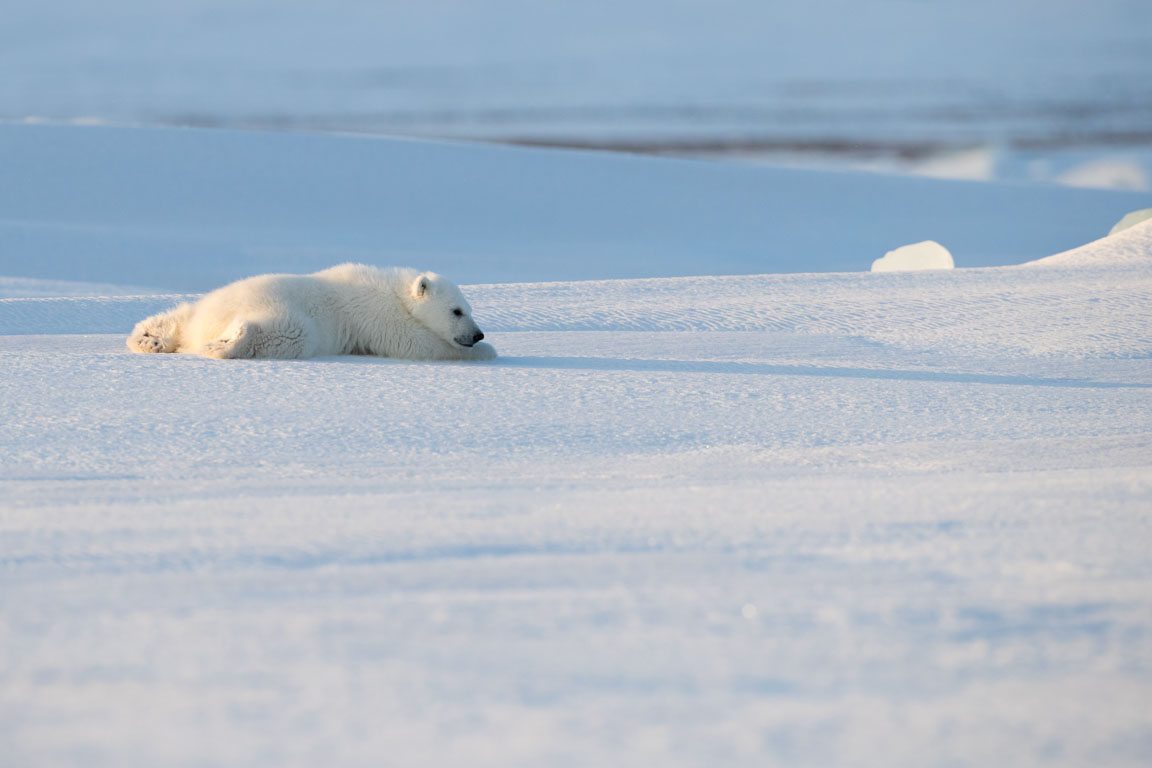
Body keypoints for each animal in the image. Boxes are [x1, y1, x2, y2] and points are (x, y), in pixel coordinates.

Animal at [126, 262, 495, 361]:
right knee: (284, 333)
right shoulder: (380, 314)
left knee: (178, 316)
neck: (395, 290)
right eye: (457, 311)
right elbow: (417, 343)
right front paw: (488, 350)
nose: (478, 334)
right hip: (288, 315)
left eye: (468, 308)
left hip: (204, 305)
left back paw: (149, 339)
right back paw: (226, 344)